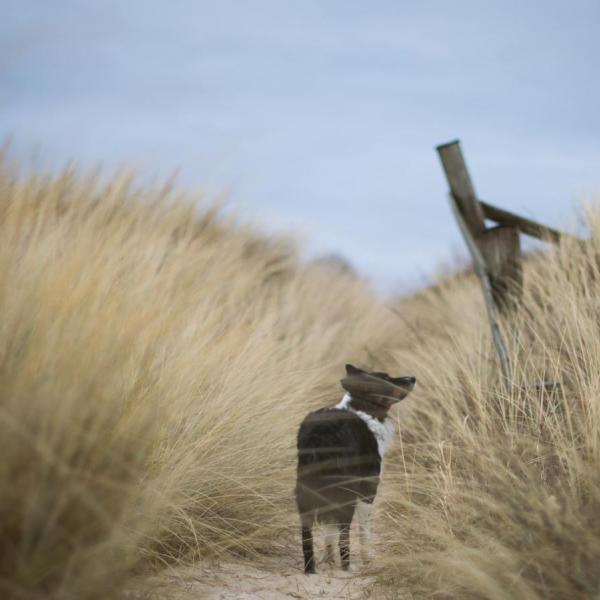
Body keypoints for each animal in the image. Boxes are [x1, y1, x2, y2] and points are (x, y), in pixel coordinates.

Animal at [292, 364, 414, 576]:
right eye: (387, 379)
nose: (413, 378)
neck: (363, 409)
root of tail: (319, 435)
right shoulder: (368, 490)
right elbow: (364, 531)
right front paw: (367, 558)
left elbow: (329, 533)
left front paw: (328, 559)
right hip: (345, 492)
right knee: (344, 534)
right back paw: (347, 566)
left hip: (305, 491)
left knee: (307, 535)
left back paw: (310, 569)